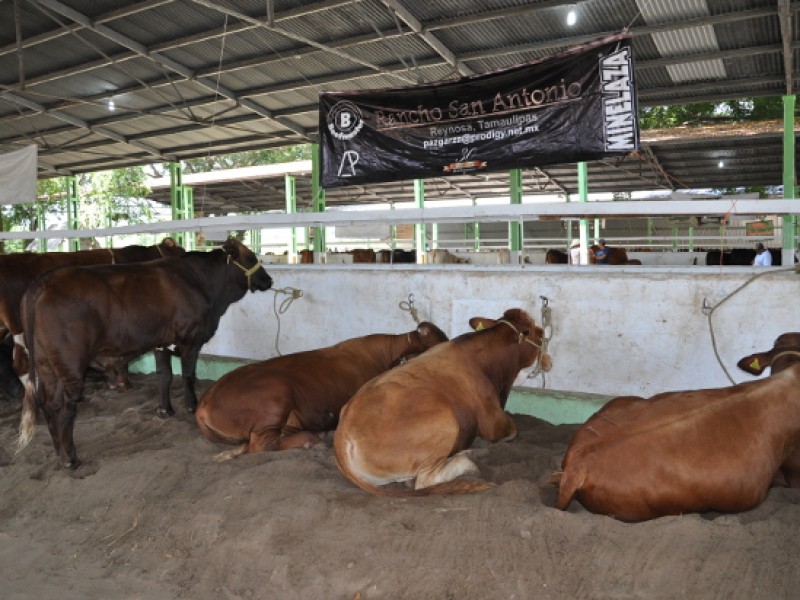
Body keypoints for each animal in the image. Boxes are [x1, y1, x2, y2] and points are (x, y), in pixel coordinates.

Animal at [14, 239, 272, 468]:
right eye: (251, 257)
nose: (268, 279)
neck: (201, 282)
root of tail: (45, 281)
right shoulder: (190, 340)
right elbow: (188, 375)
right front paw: (191, 406)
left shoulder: (161, 343)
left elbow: (164, 376)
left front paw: (165, 410)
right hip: (70, 364)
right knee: (65, 406)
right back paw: (70, 459)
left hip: (45, 363)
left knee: (49, 403)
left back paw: (58, 451)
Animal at [332, 310, 552, 496]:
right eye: (538, 332)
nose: (548, 362)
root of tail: (343, 433)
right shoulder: (493, 422)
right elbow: (511, 433)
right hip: (447, 422)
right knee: (423, 481)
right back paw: (468, 460)